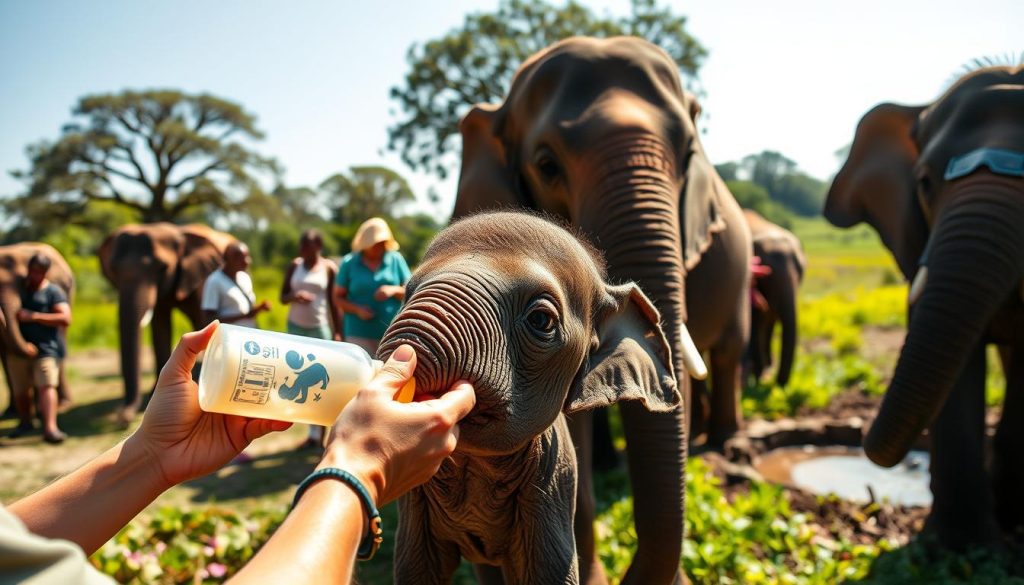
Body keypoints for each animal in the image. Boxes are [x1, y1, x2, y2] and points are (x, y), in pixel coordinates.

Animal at [98, 223, 234, 422]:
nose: (122, 417)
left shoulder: (202, 277)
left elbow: (202, 317)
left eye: (162, 268)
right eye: (113, 270)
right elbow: (160, 325)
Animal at [742, 210, 806, 387]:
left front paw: (761, 375)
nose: (778, 384)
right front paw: (758, 377)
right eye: (768, 275)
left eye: (801, 272)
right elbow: (754, 322)